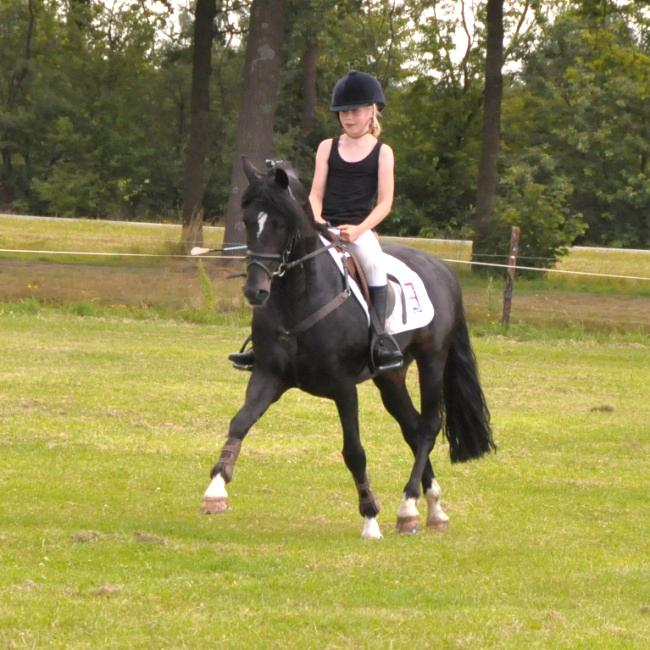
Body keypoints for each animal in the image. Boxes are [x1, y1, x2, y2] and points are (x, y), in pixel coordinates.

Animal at [200, 158, 494, 536]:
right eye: (249, 221)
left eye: (281, 223)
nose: (255, 291)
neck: (299, 299)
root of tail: (442, 269)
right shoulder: (268, 374)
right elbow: (239, 422)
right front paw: (215, 490)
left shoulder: (343, 387)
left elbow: (354, 451)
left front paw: (370, 517)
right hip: (390, 376)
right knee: (412, 427)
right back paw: (429, 509)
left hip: (432, 360)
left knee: (428, 426)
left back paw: (409, 504)